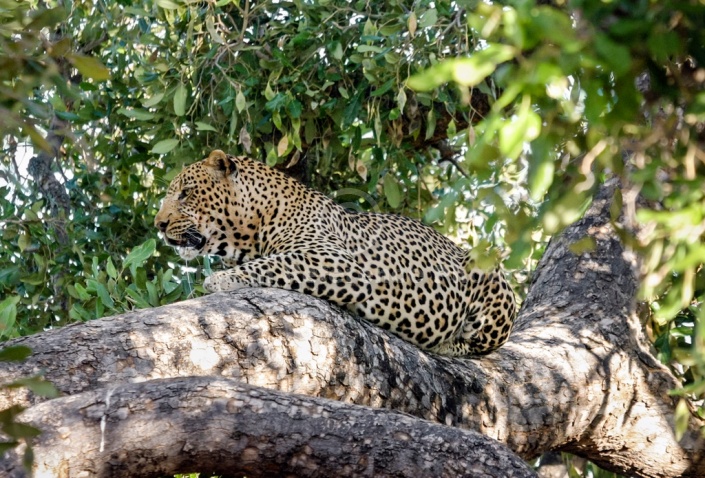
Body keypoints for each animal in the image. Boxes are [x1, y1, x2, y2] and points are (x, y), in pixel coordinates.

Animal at [155, 149, 516, 354]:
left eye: (185, 194)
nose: (159, 224)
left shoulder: (336, 263)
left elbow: (273, 264)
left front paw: (219, 280)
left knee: (481, 342)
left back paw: (447, 343)